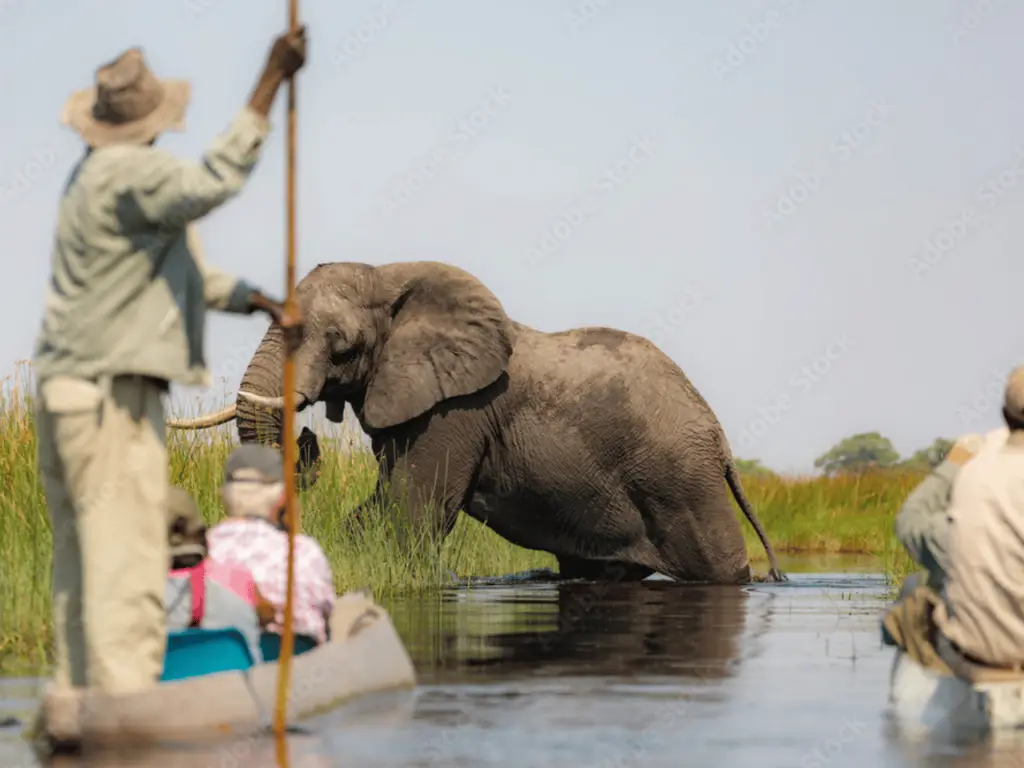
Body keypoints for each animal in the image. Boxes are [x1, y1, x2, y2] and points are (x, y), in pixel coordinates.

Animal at [169, 262, 782, 585]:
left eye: (339, 344)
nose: (308, 435)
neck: (391, 276)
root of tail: (719, 438)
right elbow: (379, 505)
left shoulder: (454, 412)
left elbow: (413, 511)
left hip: (681, 481)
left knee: (720, 567)